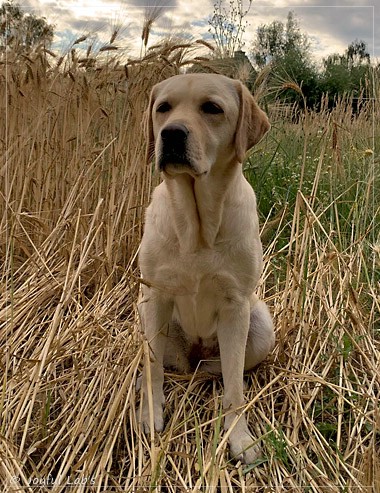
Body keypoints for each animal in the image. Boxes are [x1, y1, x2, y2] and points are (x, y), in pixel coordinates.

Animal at [138, 72, 274, 462]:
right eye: (163, 108)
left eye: (212, 108)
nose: (171, 134)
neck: (197, 225)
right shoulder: (155, 295)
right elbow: (153, 367)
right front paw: (150, 415)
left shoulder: (235, 305)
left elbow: (235, 386)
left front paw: (239, 437)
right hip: (144, 312)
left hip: (261, 324)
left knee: (224, 372)